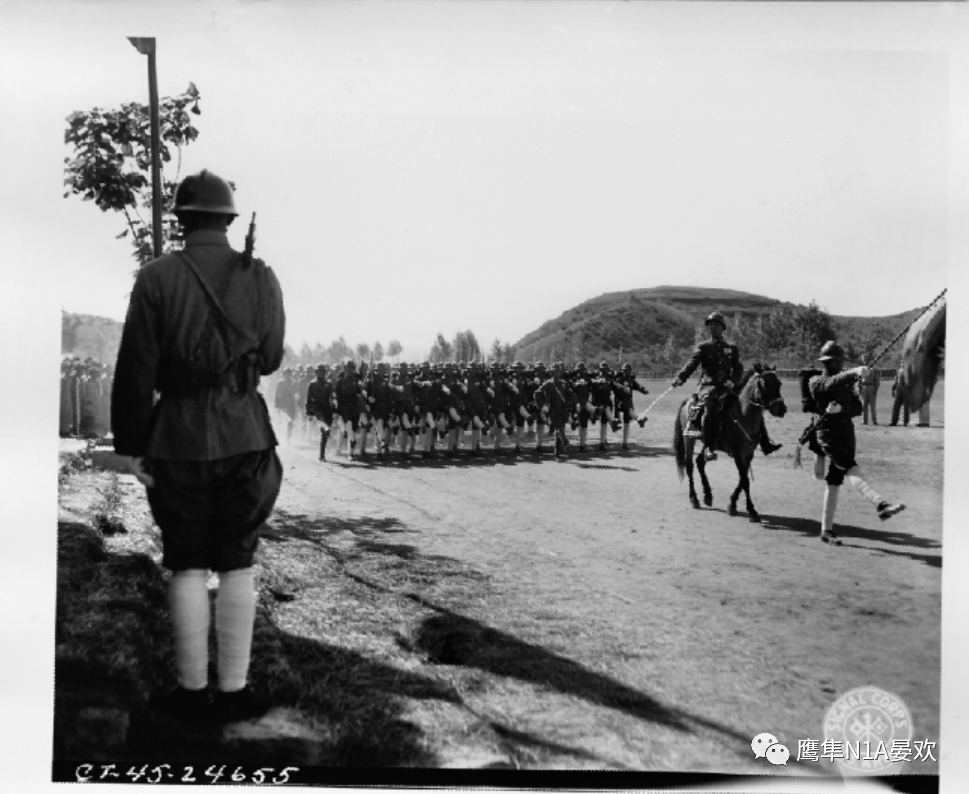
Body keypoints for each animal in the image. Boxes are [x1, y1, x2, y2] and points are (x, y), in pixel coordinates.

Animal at [672, 365, 788, 522]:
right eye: (764, 384)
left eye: (779, 383)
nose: (781, 409)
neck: (743, 413)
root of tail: (688, 402)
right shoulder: (738, 453)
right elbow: (745, 480)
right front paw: (751, 510)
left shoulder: (748, 454)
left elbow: (742, 478)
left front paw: (732, 504)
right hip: (689, 439)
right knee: (689, 466)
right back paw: (694, 498)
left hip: (708, 443)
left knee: (700, 461)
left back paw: (708, 495)